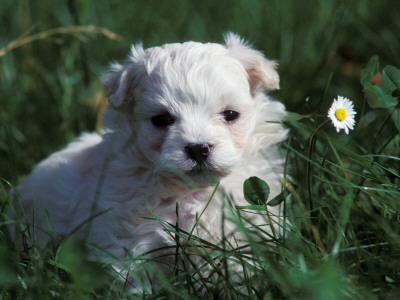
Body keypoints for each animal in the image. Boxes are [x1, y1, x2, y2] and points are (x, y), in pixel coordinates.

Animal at [11, 34, 288, 282]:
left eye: (230, 114)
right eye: (162, 120)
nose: (198, 148)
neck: (191, 192)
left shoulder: (240, 234)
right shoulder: (129, 240)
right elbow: (135, 279)